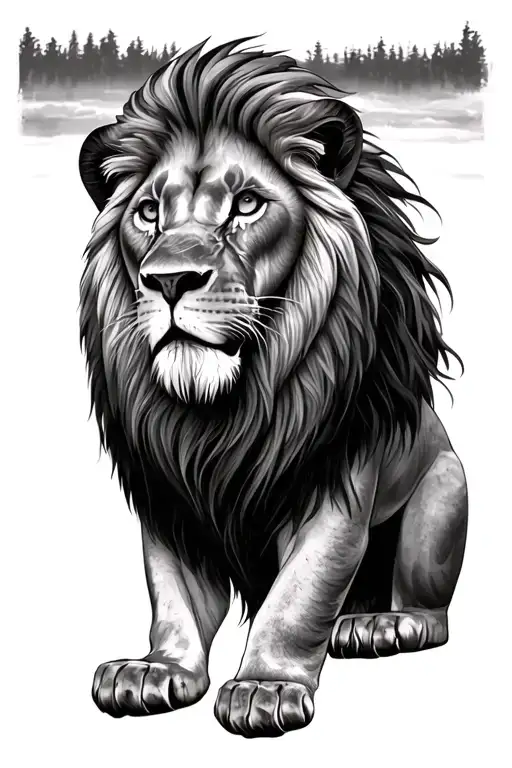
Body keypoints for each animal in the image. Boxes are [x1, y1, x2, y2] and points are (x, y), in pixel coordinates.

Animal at [78, 38, 468, 738]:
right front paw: (157, 670)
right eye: (149, 212)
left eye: (247, 205)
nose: (168, 280)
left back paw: (381, 624)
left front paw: (265, 686)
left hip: (445, 491)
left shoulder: (337, 485)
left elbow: (299, 595)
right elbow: (172, 592)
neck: (223, 407)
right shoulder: (169, 490)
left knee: (431, 611)